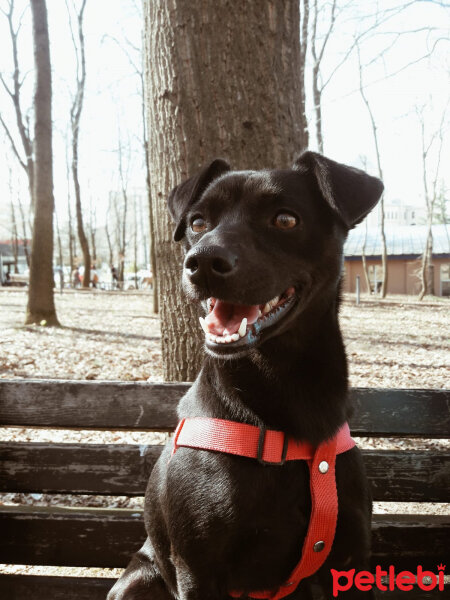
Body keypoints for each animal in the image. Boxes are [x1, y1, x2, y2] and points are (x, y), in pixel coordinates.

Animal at [108, 152, 384, 596]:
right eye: (197, 222)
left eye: (285, 219)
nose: (203, 261)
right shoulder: (198, 571)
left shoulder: (348, 565)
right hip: (140, 579)